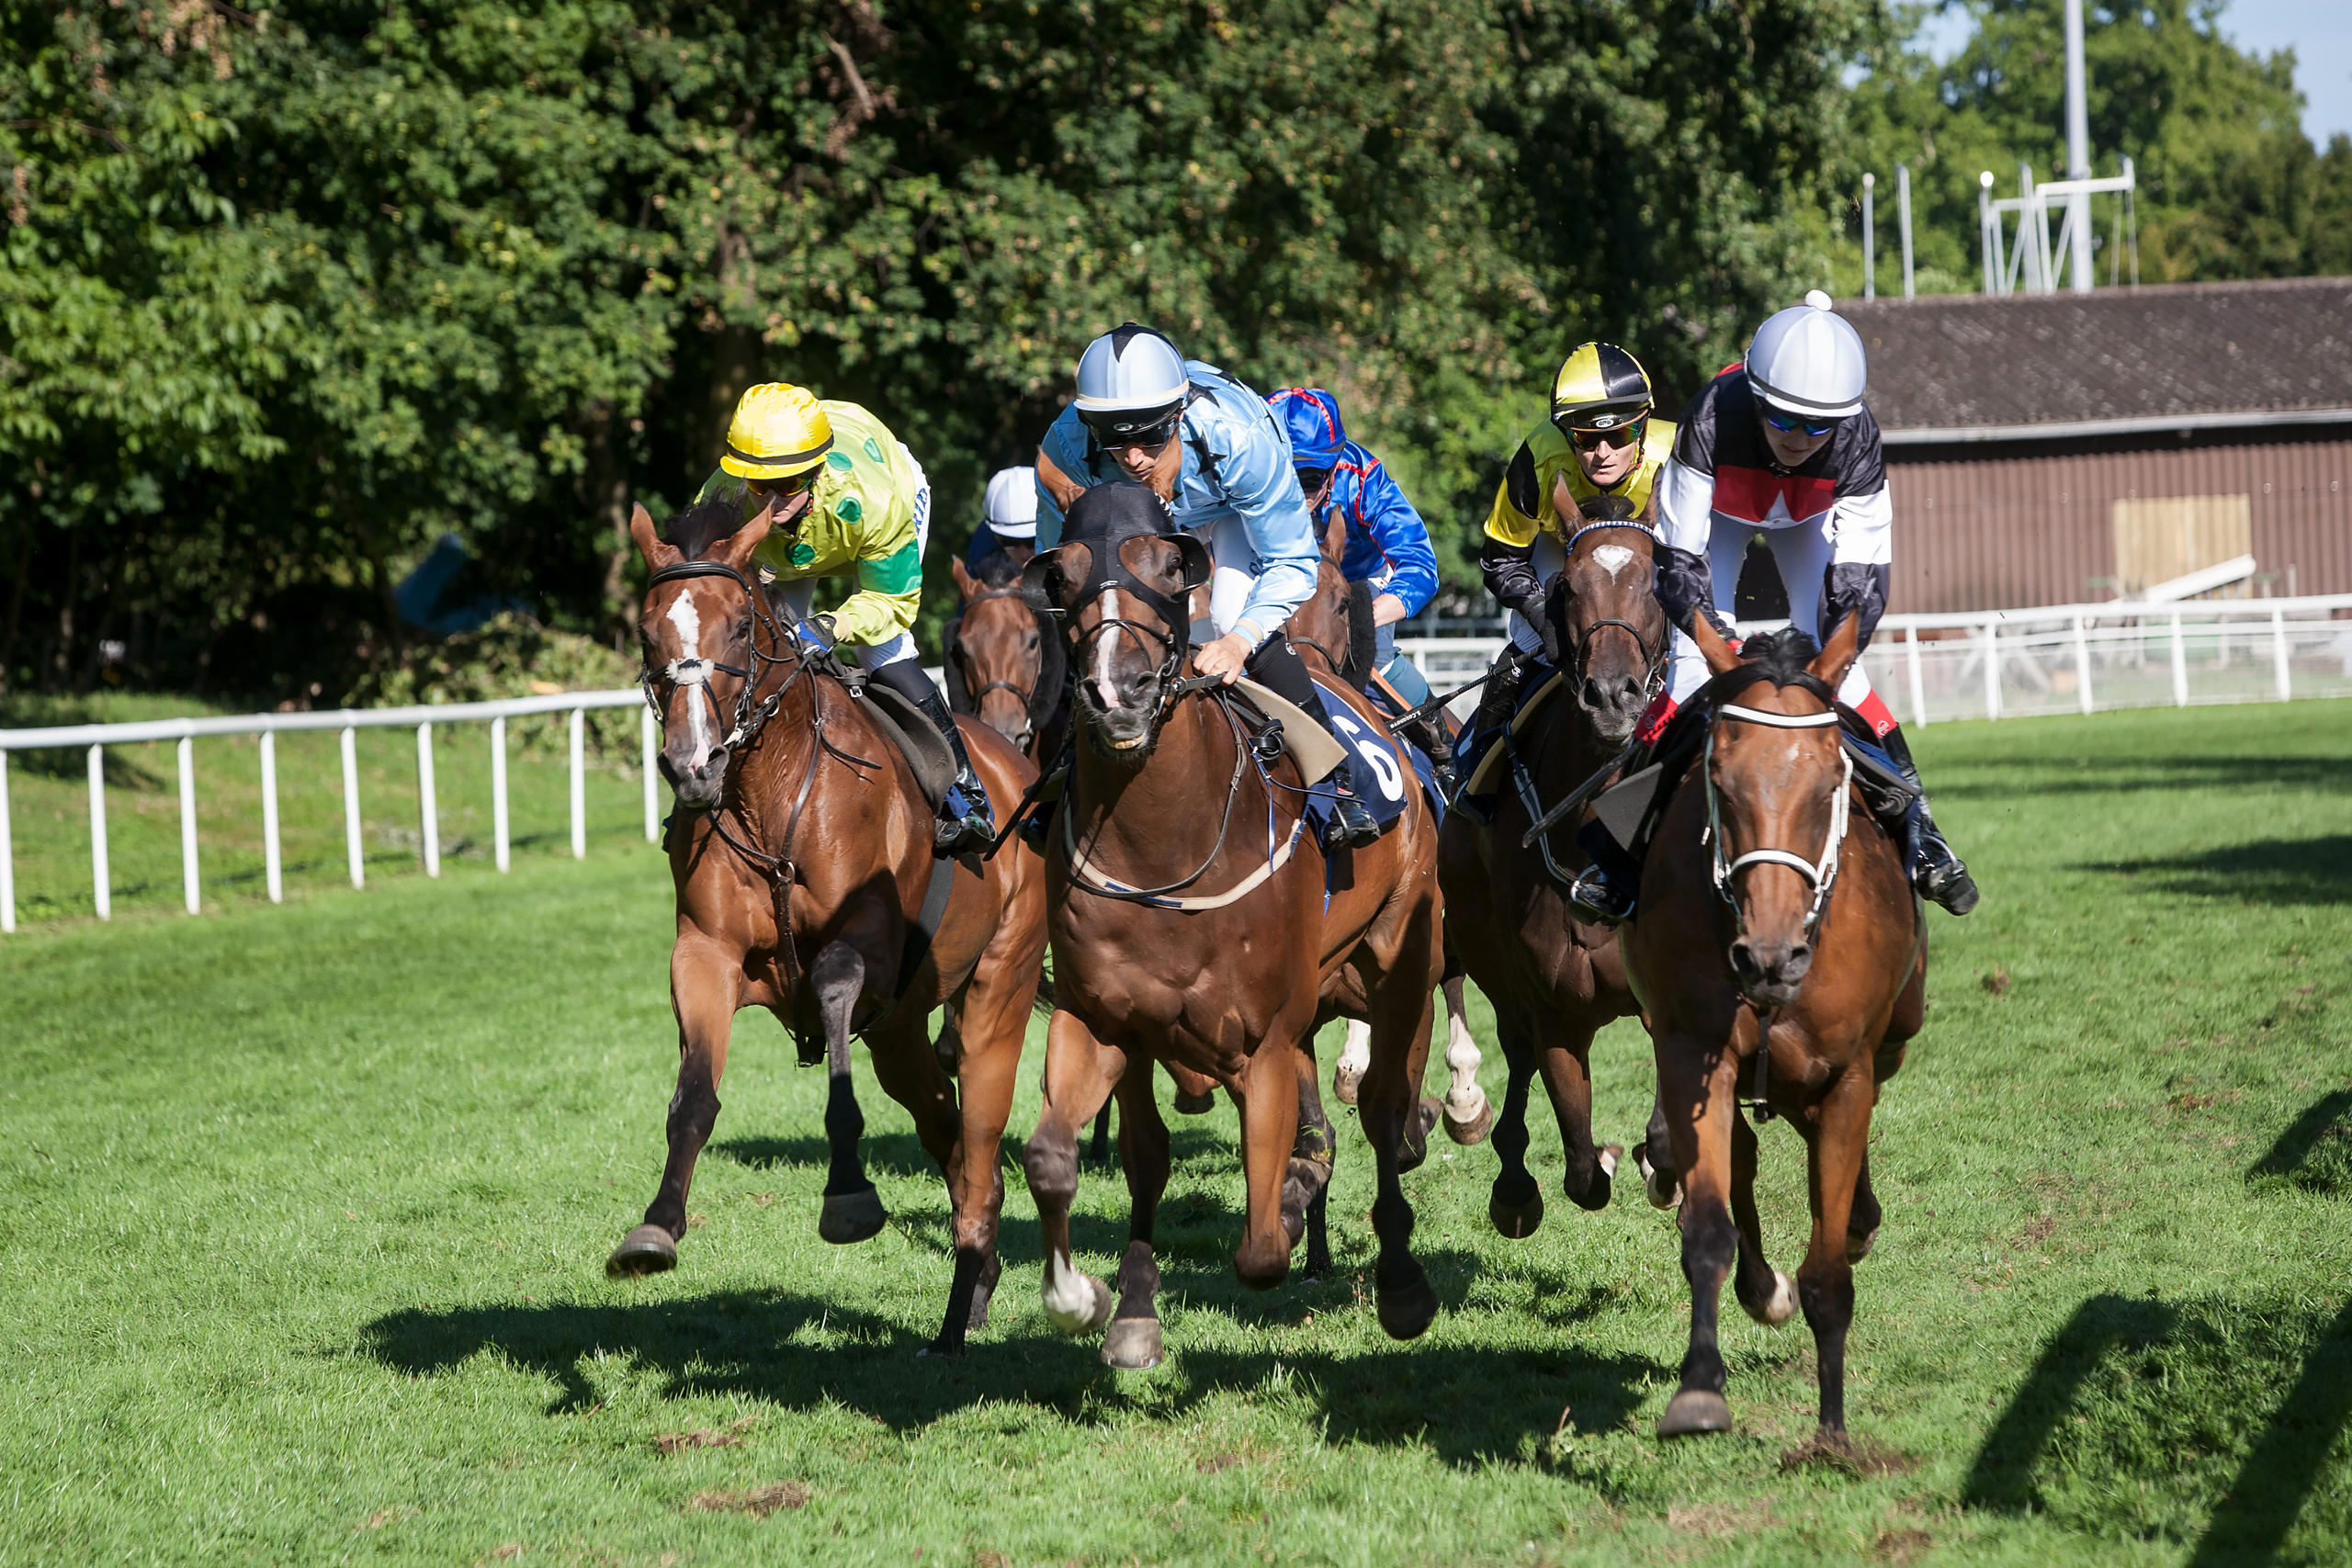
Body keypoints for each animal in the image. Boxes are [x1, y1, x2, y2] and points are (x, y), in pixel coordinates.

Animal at [606, 495, 1048, 1354]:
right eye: (647, 633)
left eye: (737, 628)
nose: (692, 763)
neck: (768, 792)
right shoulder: (703, 953)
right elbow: (693, 1097)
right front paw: (655, 1228)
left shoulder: (862, 949)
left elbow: (836, 1000)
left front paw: (848, 1195)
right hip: (902, 1032)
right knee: (946, 1131)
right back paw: (973, 1281)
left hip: (996, 989)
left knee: (978, 1134)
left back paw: (960, 1306)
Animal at [1021, 484, 1439, 1363]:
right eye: (1061, 575)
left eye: (1170, 568)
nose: (1118, 691)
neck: (1164, 848)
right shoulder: (1103, 1017)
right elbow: (1068, 1157)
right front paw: (1100, 1300)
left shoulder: (1266, 1040)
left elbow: (1261, 1247)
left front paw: (1291, 1209)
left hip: (1401, 954)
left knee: (1387, 1108)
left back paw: (1401, 1275)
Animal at [1430, 491, 1674, 1241]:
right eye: (1566, 586)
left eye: (1660, 582)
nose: (1614, 695)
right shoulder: (1555, 1007)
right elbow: (1583, 1169)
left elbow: (1666, 1133)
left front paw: (1655, 1159)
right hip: (1487, 949)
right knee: (1514, 1049)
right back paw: (1508, 1173)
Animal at [1618, 615, 1928, 1448]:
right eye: (1720, 783)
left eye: (1828, 783)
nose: (1769, 958)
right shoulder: (1694, 1052)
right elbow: (1706, 1229)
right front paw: (1699, 1388)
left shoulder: (1850, 1069)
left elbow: (1828, 1274)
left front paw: (1832, 1431)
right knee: (1746, 1157)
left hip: (1895, 1030)